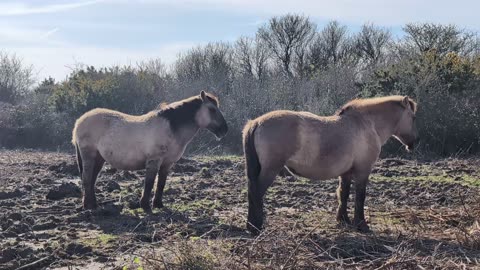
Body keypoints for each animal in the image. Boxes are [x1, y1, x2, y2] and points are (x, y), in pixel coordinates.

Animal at [72, 92, 228, 212]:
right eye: (212, 109)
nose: (224, 130)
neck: (171, 127)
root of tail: (79, 121)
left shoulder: (167, 164)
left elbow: (161, 184)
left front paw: (158, 204)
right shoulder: (154, 160)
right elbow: (149, 183)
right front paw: (145, 206)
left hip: (99, 158)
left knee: (92, 179)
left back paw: (93, 204)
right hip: (89, 156)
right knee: (87, 178)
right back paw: (89, 206)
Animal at [242, 96, 418, 233]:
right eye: (413, 117)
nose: (414, 144)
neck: (366, 123)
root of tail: (256, 122)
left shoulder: (346, 172)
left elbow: (343, 194)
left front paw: (343, 221)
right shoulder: (363, 170)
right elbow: (360, 196)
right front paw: (361, 225)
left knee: (252, 192)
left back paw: (252, 225)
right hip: (270, 170)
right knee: (256, 193)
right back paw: (256, 227)